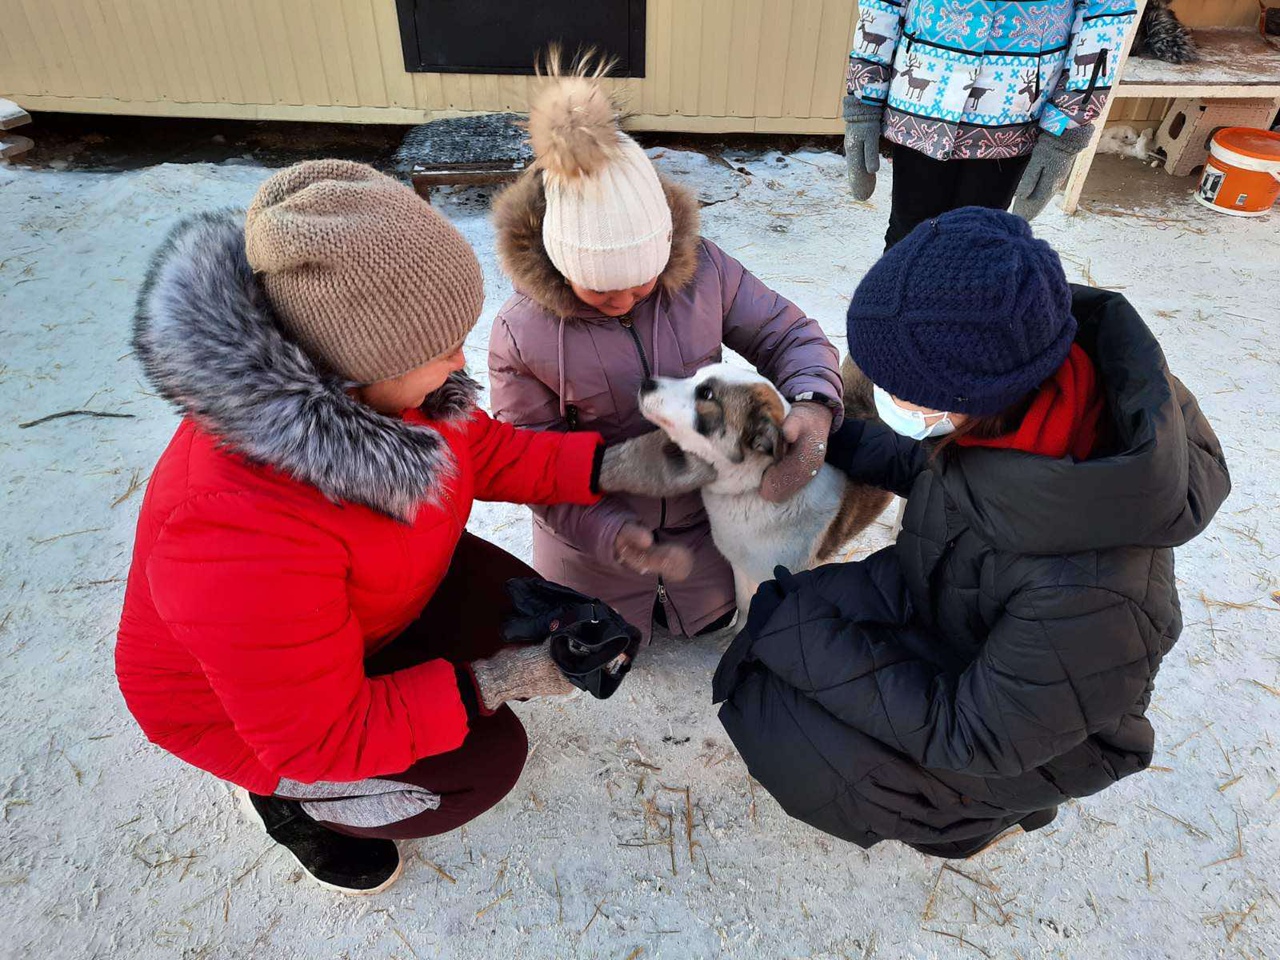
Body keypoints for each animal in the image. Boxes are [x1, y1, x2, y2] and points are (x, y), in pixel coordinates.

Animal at [637, 363, 890, 619]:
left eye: (706, 394)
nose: (646, 383)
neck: (752, 489)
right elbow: (744, 606)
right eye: (694, 375)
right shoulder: (740, 568)